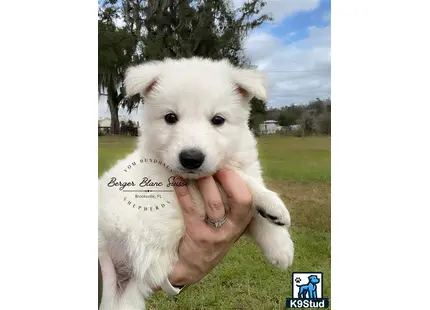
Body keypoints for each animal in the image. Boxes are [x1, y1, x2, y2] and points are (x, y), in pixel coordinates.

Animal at [99, 57, 294, 308]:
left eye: (218, 120)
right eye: (170, 118)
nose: (191, 158)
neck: (194, 179)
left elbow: (253, 212)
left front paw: (280, 246)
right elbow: (236, 176)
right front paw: (273, 204)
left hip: (124, 296)